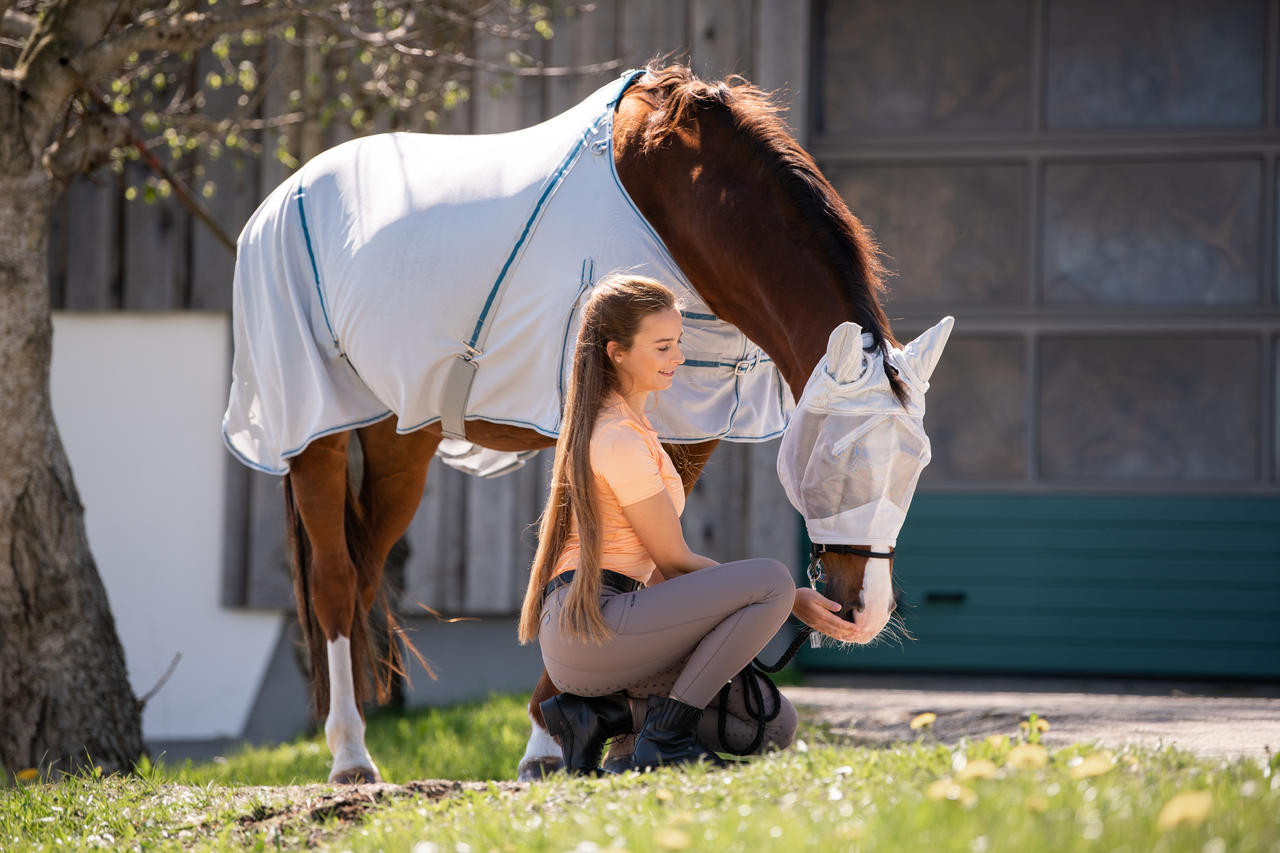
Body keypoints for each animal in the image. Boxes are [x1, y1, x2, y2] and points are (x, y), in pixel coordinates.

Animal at [222, 61, 931, 783]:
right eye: (836, 459)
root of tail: (283, 197)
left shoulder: (689, 427)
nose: (863, 612)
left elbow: (650, 566)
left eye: (918, 463)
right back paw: (350, 755)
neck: (680, 199)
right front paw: (553, 741)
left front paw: (610, 733)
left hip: (400, 437)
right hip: (316, 430)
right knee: (334, 583)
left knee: (365, 574)